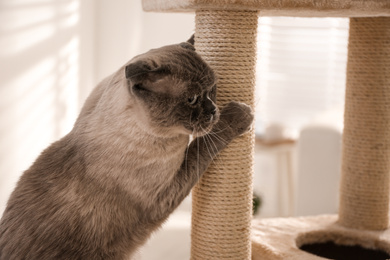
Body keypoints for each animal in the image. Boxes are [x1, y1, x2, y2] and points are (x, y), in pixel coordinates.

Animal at [0, 37, 253, 258]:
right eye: (191, 99)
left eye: (212, 90)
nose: (212, 111)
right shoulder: (165, 194)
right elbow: (202, 145)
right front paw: (240, 114)